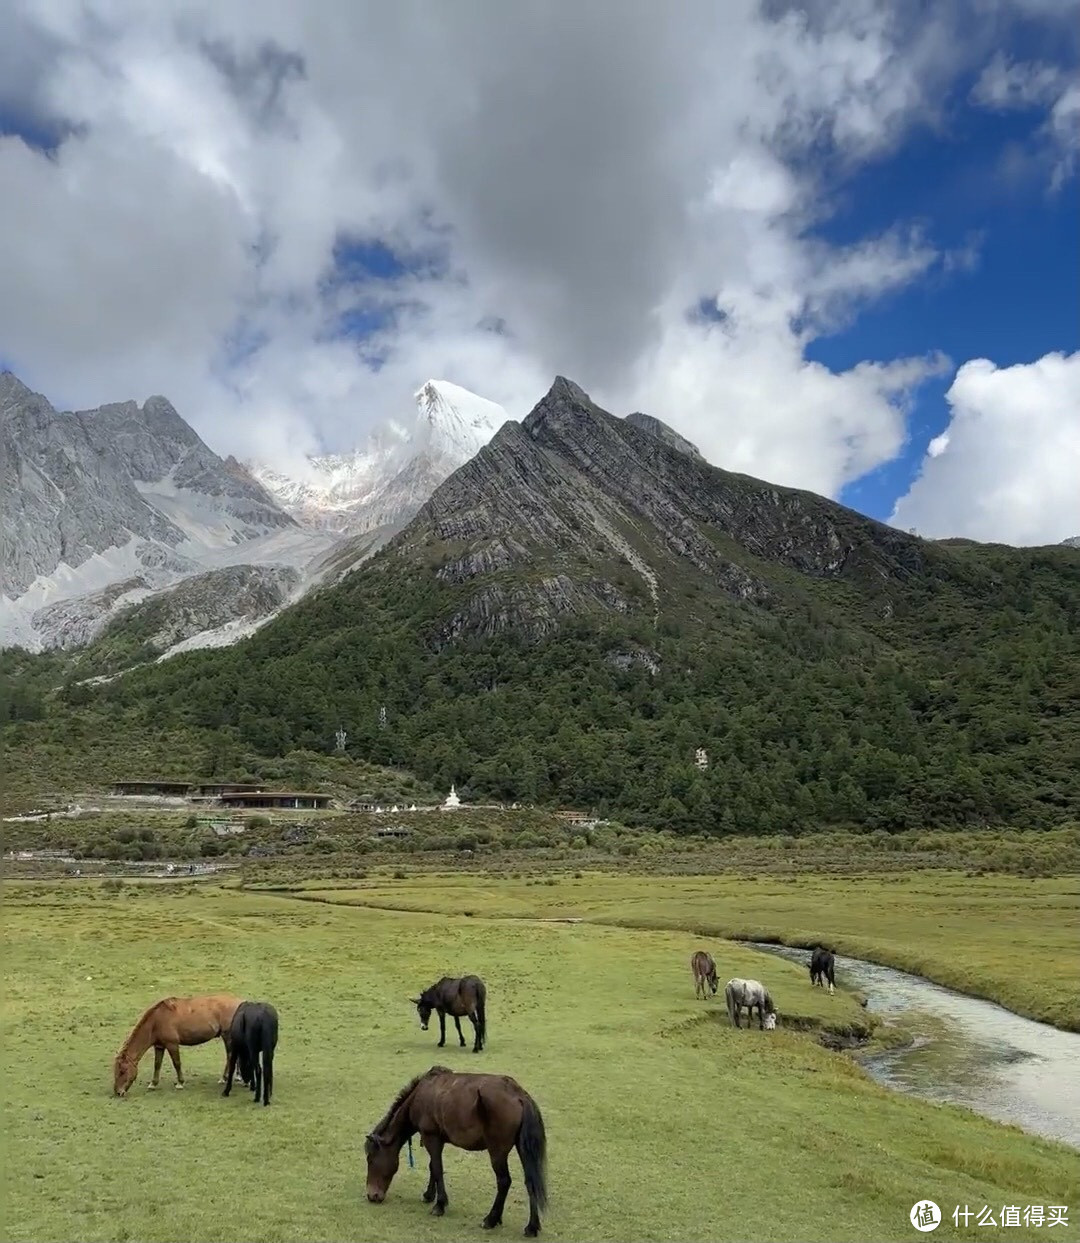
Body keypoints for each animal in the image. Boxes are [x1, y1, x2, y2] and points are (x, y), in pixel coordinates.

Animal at [112, 989, 241, 1098]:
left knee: (231, 1057)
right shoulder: (159, 1046)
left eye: (123, 1071)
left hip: (227, 1036)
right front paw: (153, 1084)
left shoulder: (172, 1044)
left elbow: (176, 1063)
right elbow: (157, 1064)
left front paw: (180, 1083)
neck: (156, 1021)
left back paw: (224, 1078)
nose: (118, 1092)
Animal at [365, 1064, 546, 1238]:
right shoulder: (437, 1140)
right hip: (522, 1149)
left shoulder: (431, 1137)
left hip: (497, 1151)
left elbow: (437, 1168)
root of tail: (519, 1095)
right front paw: (429, 1195)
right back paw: (531, 1227)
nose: (372, 1195)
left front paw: (439, 1205)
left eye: (371, 1160)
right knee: (530, 1182)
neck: (420, 1095)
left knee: (504, 1181)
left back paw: (490, 1220)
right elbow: (433, 1168)